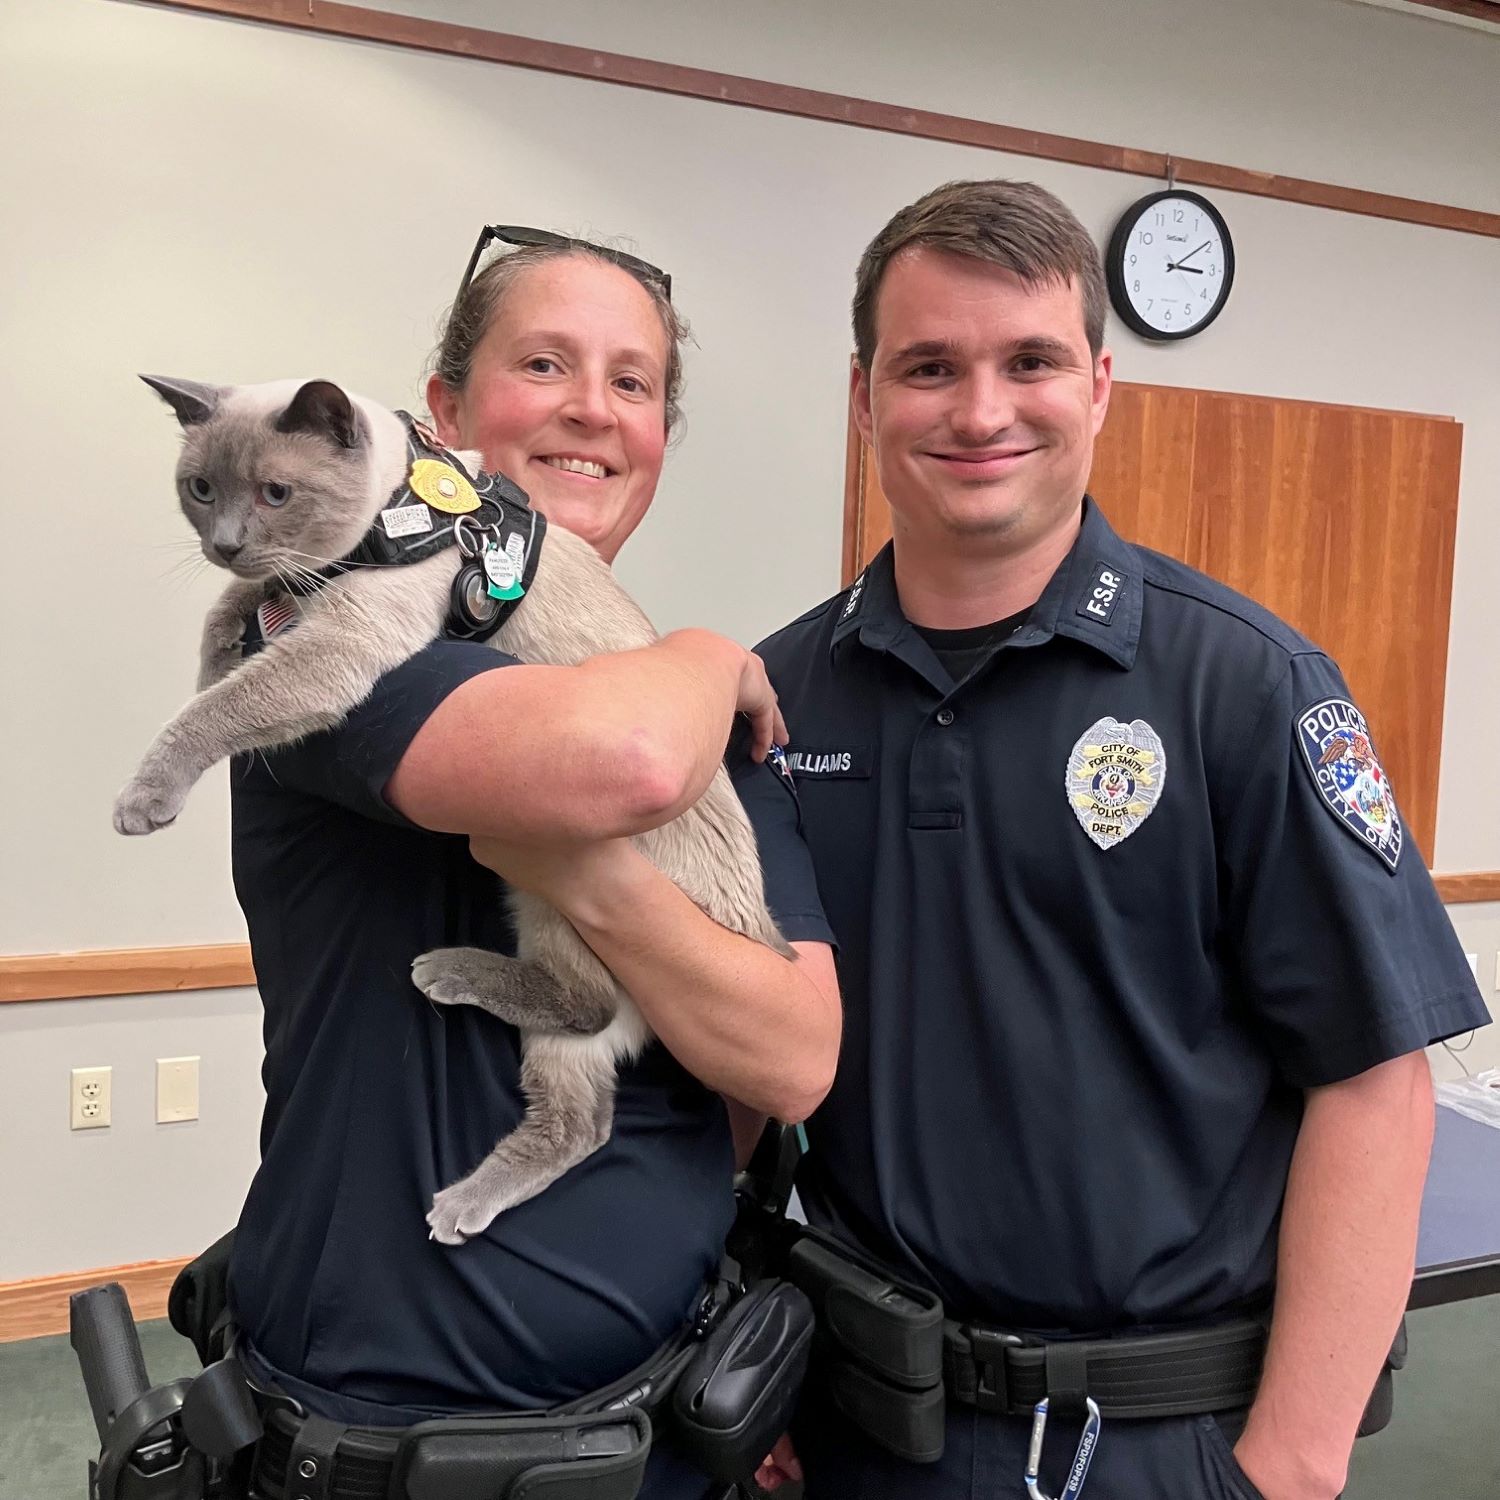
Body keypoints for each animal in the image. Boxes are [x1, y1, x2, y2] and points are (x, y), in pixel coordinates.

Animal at [114, 375, 798, 1242]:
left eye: (275, 494)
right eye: (201, 490)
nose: (226, 542)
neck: (374, 527)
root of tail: (758, 933)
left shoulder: (342, 645)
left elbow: (221, 706)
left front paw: (143, 800)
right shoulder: (295, 584)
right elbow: (230, 613)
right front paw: (214, 656)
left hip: (551, 892)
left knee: (586, 1005)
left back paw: (443, 978)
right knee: (583, 1115)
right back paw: (465, 1204)